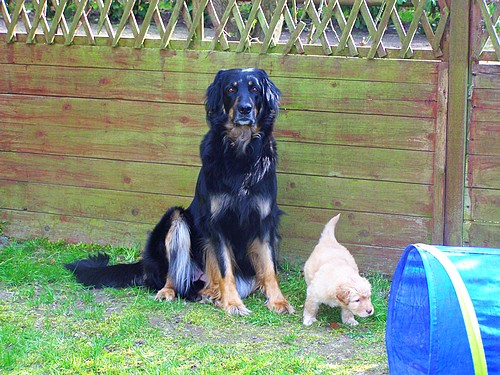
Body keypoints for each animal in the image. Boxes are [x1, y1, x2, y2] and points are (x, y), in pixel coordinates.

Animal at [66, 69, 292, 316]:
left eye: (254, 89)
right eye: (231, 89)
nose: (244, 108)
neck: (241, 155)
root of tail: (146, 263)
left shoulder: (264, 221)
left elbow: (269, 268)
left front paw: (278, 301)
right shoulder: (216, 223)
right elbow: (225, 269)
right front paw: (233, 303)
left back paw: (210, 294)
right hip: (175, 217)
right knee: (173, 274)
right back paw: (170, 291)